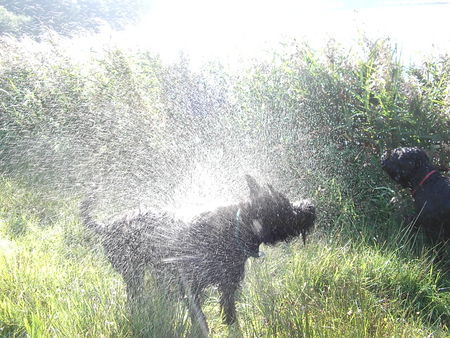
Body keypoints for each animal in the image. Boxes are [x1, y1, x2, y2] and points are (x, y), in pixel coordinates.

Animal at [81, 176, 314, 334]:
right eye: (284, 205)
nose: (310, 206)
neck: (236, 228)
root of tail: (107, 226)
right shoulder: (191, 286)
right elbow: (200, 319)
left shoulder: (227, 284)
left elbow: (230, 315)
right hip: (133, 273)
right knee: (134, 298)